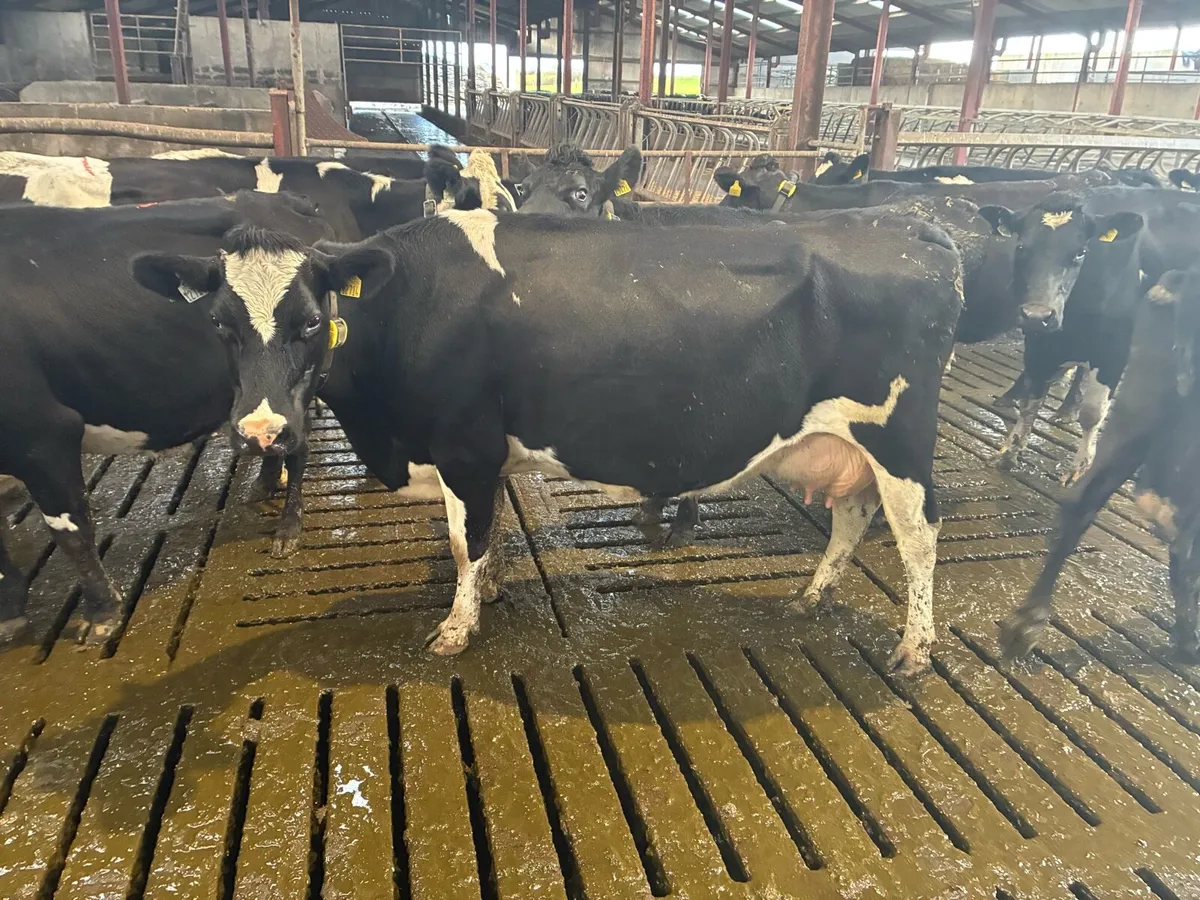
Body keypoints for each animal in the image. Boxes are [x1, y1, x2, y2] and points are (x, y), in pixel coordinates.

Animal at [0, 192, 334, 643]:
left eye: (311, 321)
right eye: (216, 321)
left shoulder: (42, 434)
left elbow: (71, 531)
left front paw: (101, 613)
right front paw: (9, 609)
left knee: (298, 444)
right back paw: (263, 483)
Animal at [131, 208, 964, 674]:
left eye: (309, 323)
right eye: (221, 327)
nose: (262, 429)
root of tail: (915, 229)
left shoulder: (464, 442)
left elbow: (464, 539)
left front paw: (457, 627)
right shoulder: (486, 454)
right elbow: (487, 531)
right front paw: (493, 589)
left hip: (899, 438)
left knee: (919, 533)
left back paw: (916, 649)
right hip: (855, 445)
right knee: (853, 516)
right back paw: (812, 596)